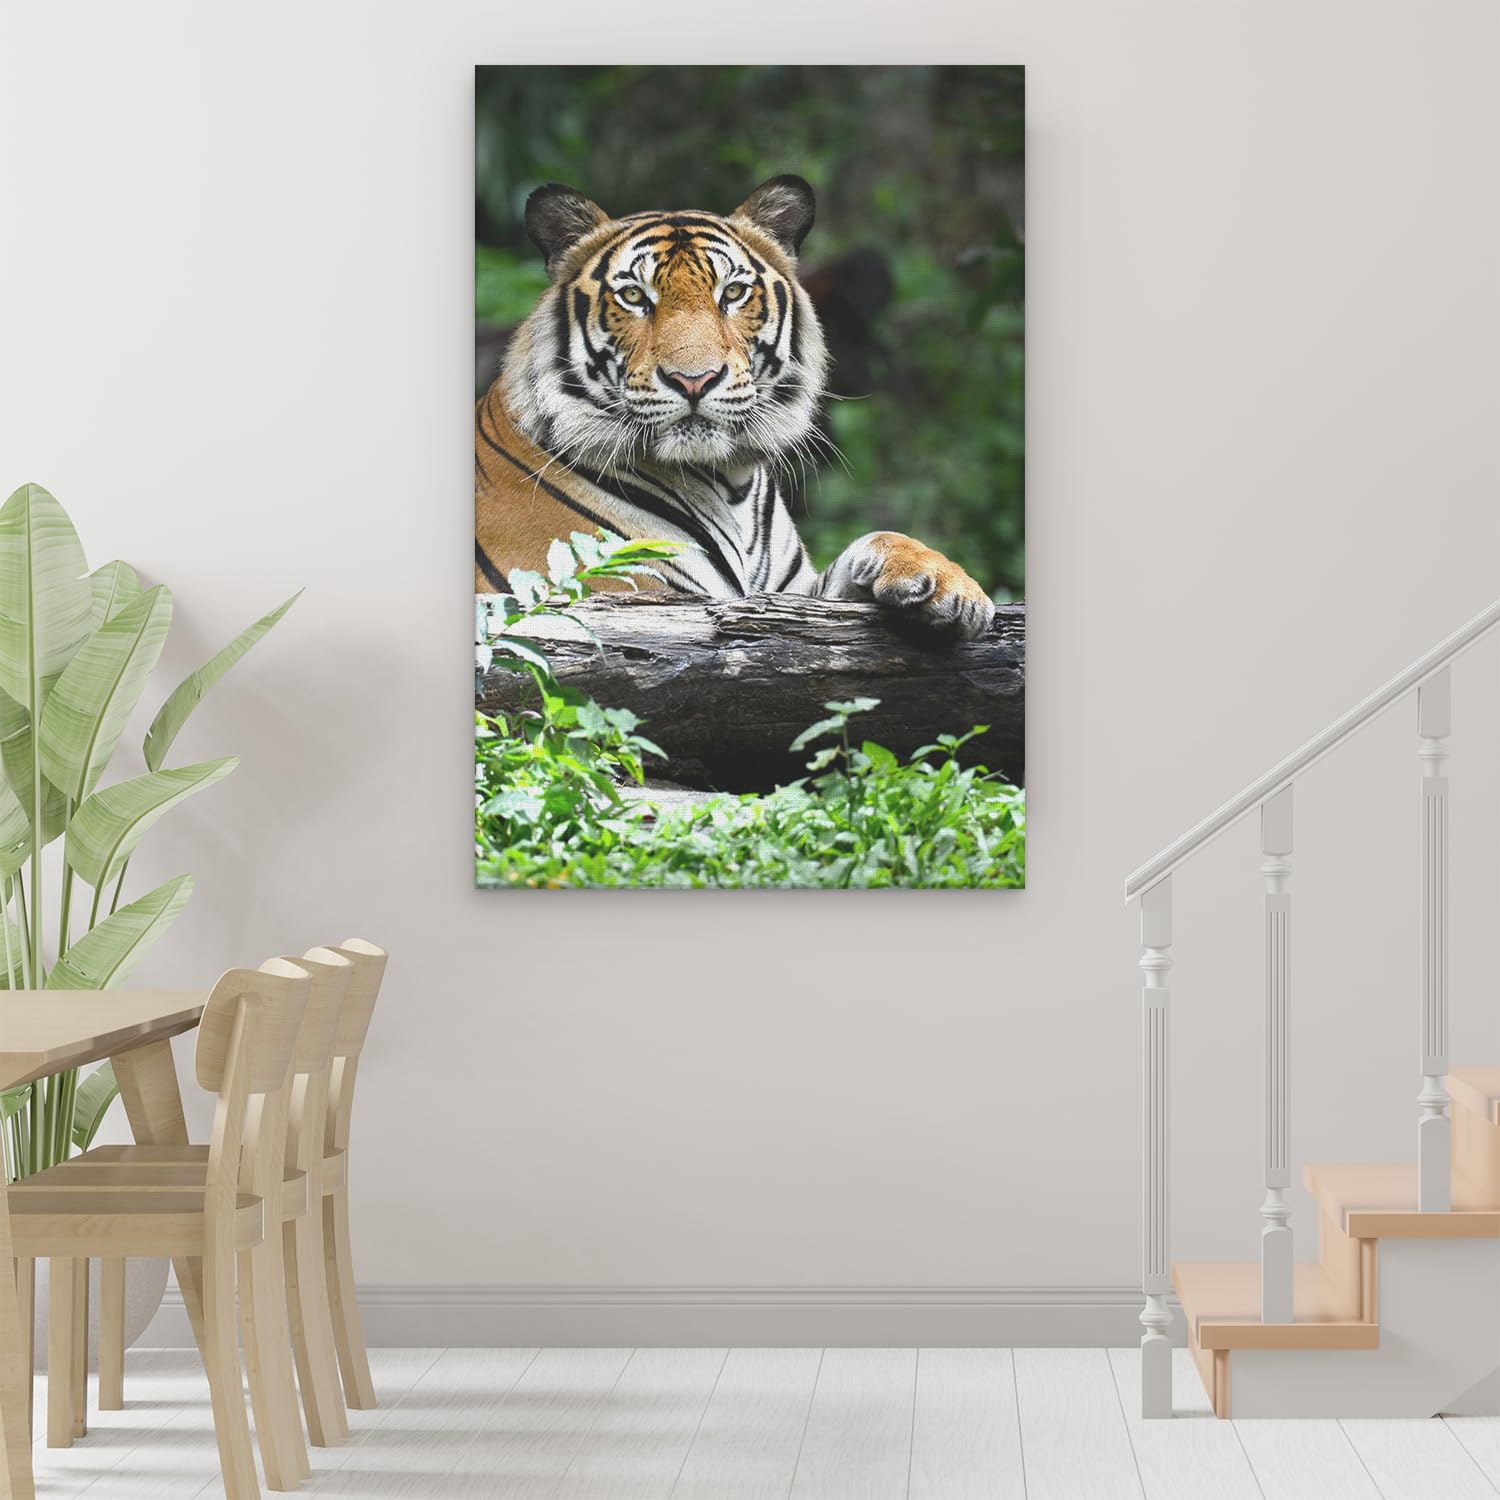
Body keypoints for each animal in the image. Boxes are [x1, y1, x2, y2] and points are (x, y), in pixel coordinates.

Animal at [475, 174, 996, 640]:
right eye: (634, 296)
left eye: (732, 293)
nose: (694, 379)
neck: (730, 483)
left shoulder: (791, 596)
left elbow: (875, 540)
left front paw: (949, 586)